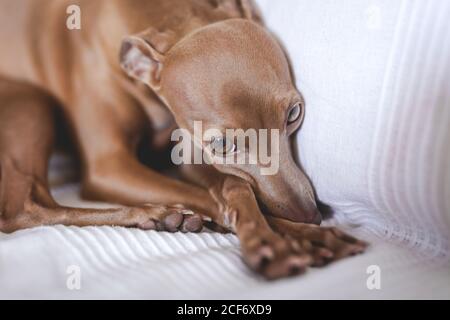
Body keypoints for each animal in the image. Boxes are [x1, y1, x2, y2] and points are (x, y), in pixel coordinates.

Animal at [0, 0, 366, 278]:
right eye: (221, 145)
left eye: (293, 113)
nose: (311, 214)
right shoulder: (109, 166)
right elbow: (224, 193)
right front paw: (289, 240)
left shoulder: (188, 155)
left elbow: (231, 185)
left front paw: (305, 235)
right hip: (34, 101)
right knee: (23, 211)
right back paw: (155, 214)